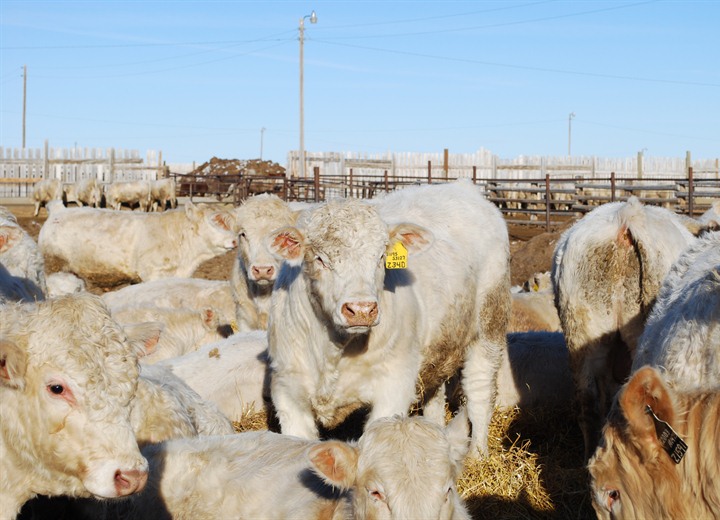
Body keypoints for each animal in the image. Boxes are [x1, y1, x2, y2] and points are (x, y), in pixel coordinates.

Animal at [268, 181, 510, 458]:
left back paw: (478, 454)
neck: (333, 351)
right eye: (320, 259)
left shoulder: (394, 385)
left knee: (479, 391)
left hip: (489, 323)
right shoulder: (287, 390)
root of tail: (462, 185)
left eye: (381, 256)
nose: (362, 309)